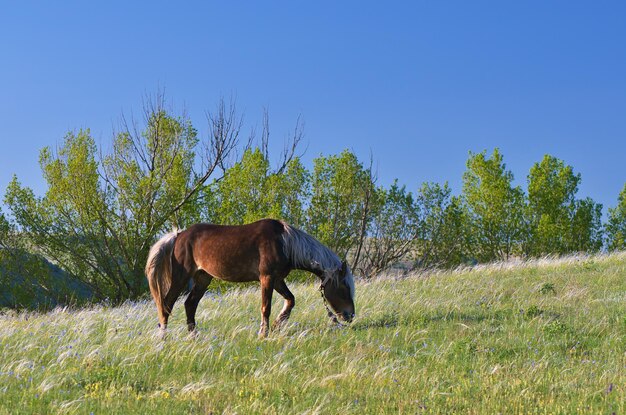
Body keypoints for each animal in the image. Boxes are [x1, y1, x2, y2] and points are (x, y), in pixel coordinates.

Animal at [143, 218, 354, 338]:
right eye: (344, 287)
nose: (350, 315)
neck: (284, 242)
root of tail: (179, 235)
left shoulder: (278, 279)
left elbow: (290, 300)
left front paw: (277, 324)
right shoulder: (267, 278)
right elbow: (266, 307)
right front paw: (263, 333)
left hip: (203, 278)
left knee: (190, 304)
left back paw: (194, 336)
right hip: (181, 277)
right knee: (167, 304)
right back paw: (163, 338)